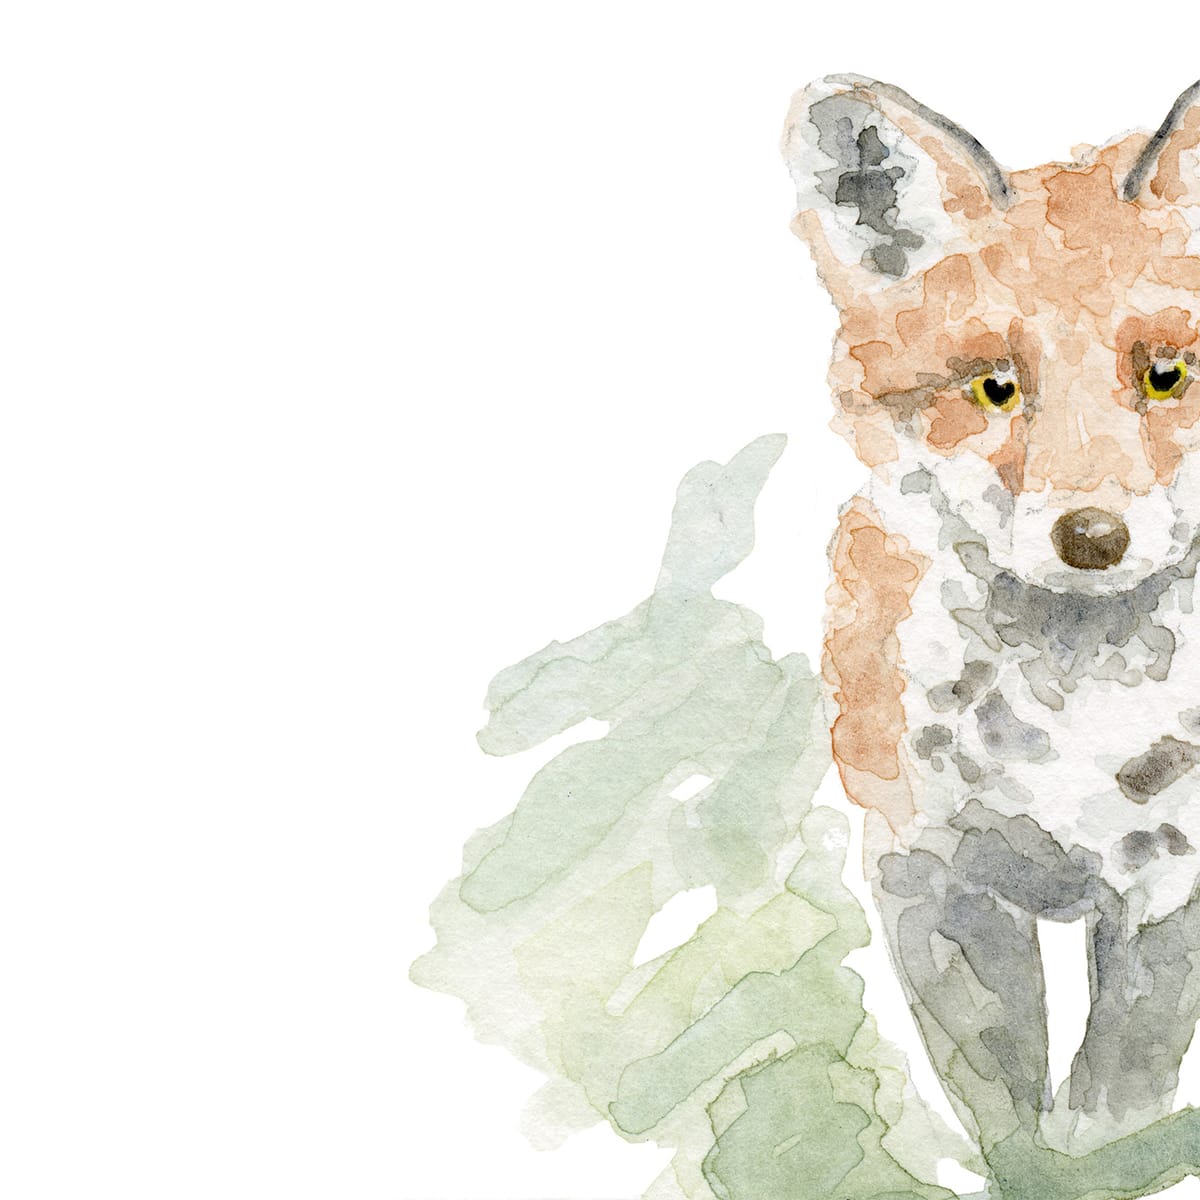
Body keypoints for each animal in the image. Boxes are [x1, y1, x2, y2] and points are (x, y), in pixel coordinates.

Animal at [783, 76, 1200, 1177]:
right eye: (995, 389)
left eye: (1167, 375)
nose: (1092, 536)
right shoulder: (932, 884)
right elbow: (1010, 1122)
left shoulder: (1172, 888)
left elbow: (1116, 1100)